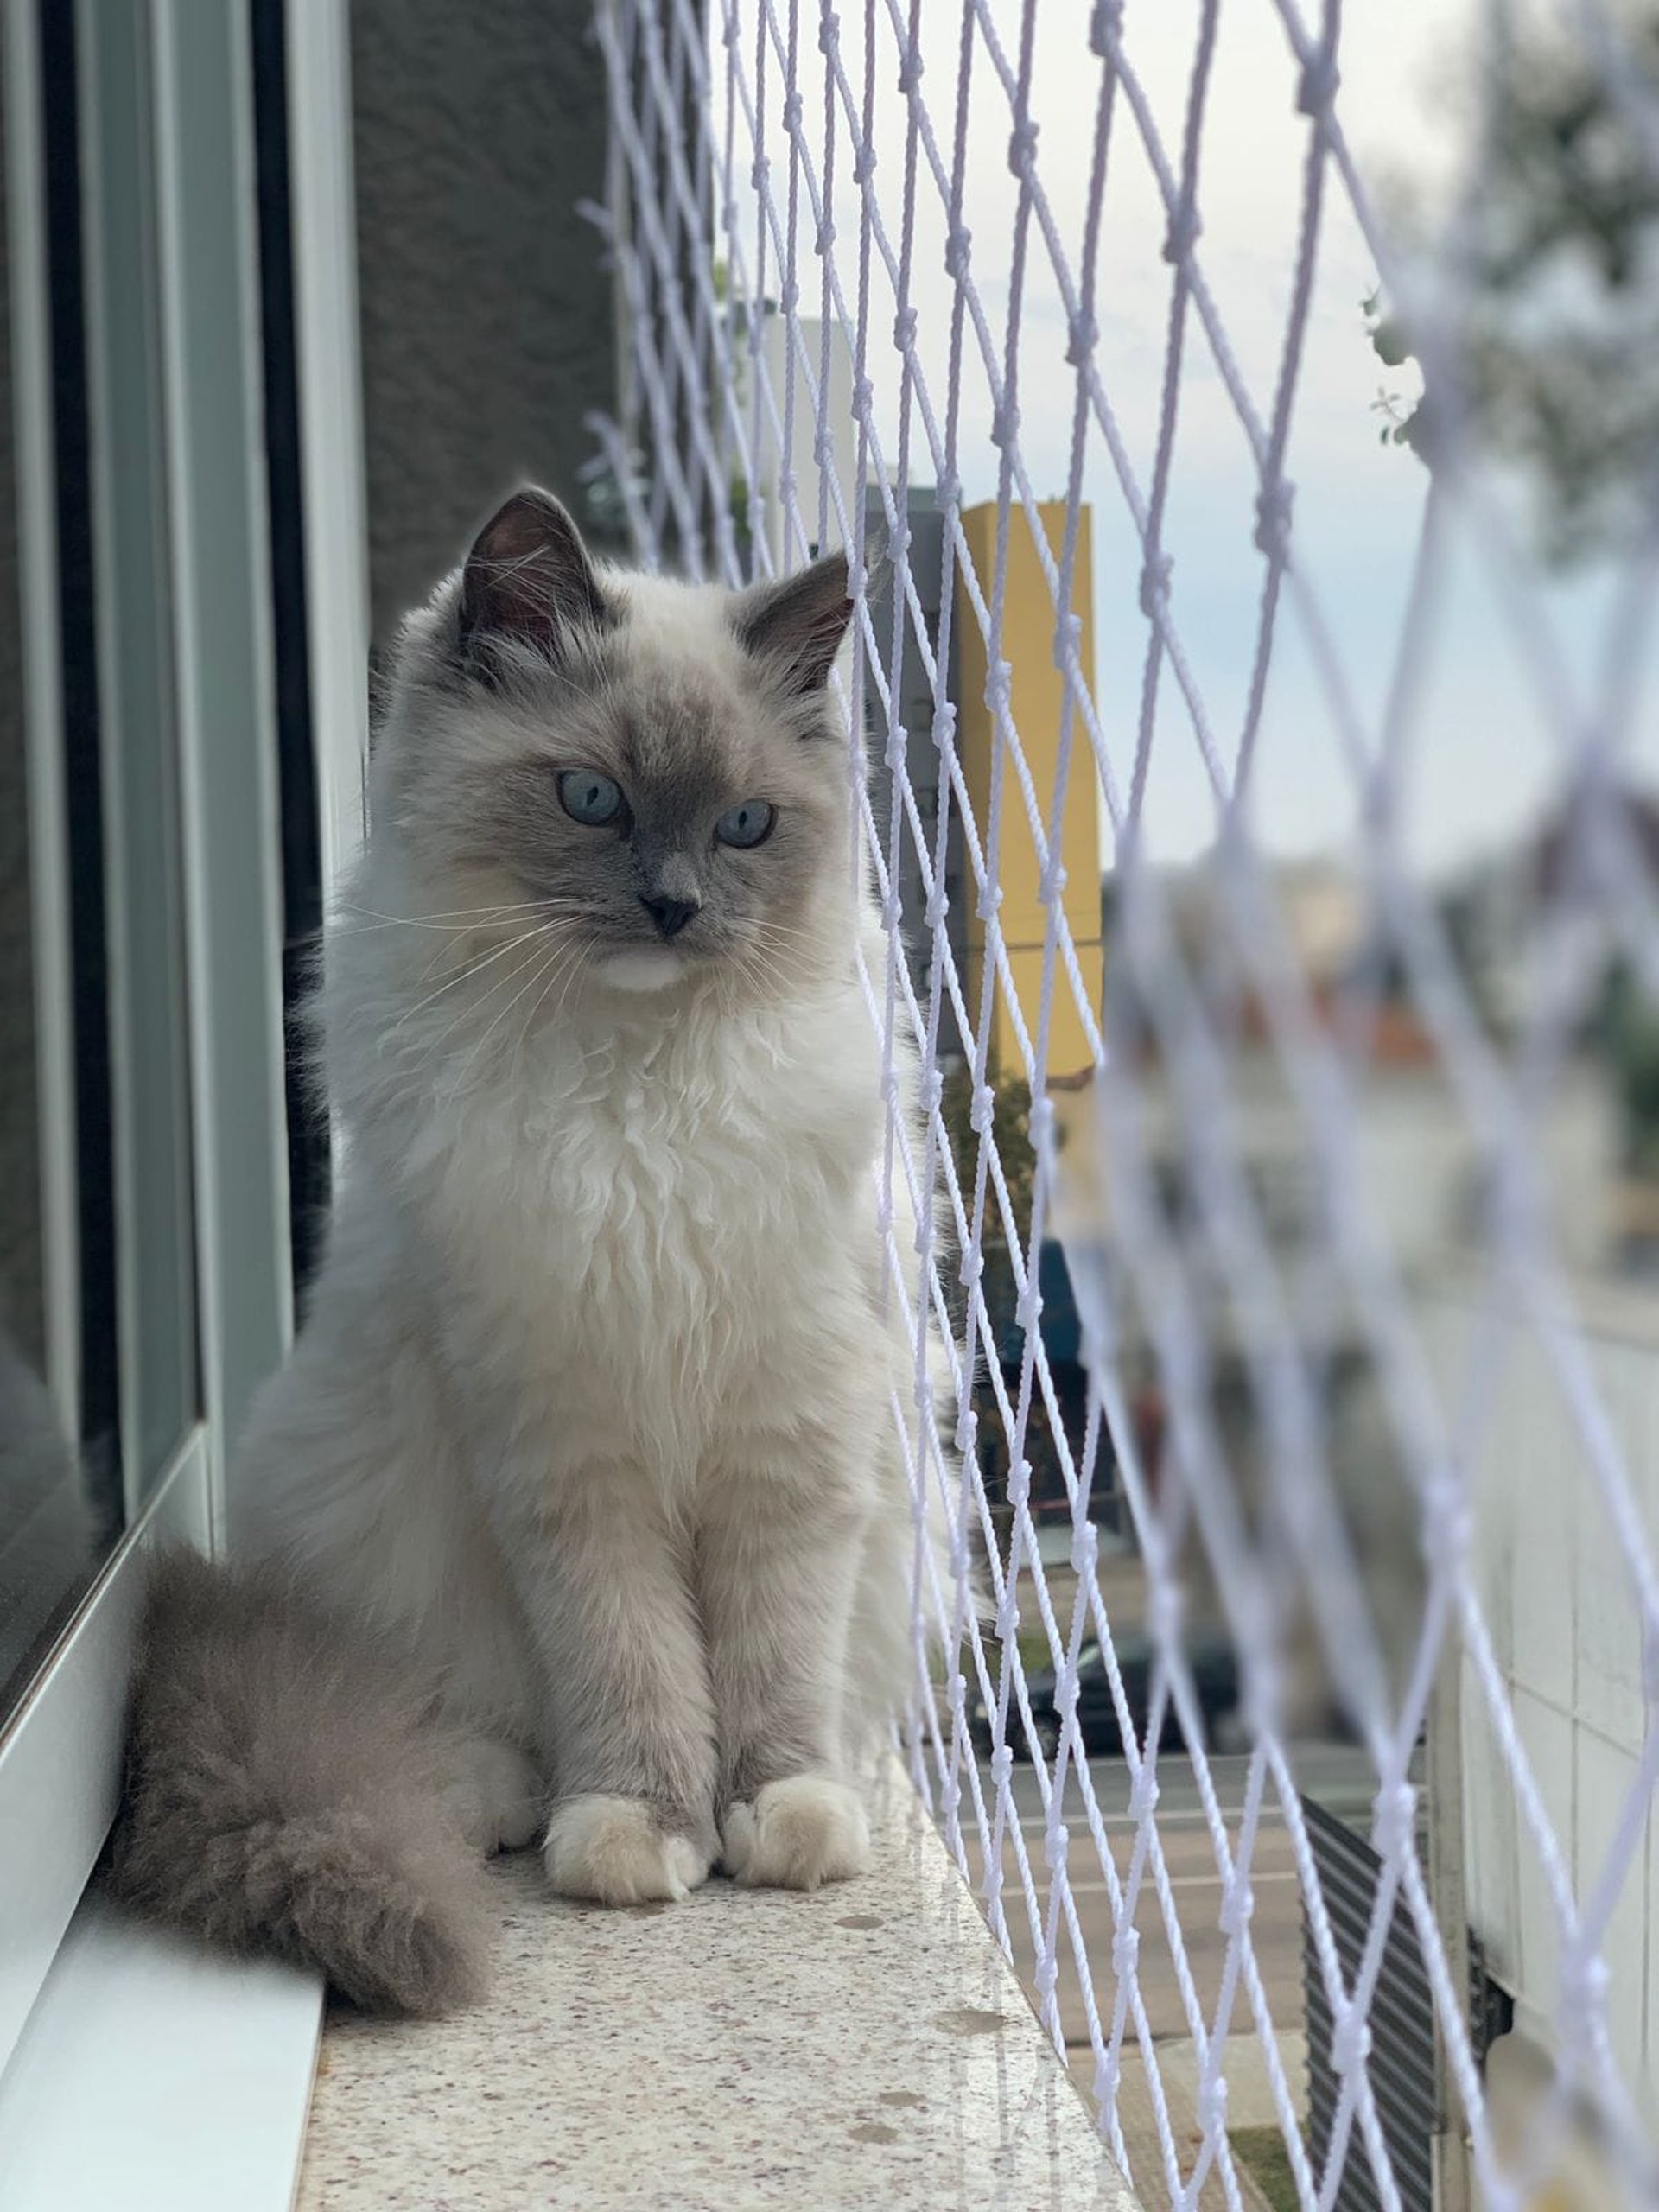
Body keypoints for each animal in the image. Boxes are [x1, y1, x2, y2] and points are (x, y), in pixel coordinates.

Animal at [111, 493, 955, 2017]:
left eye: (746, 827)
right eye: (592, 800)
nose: (674, 908)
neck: (637, 1099)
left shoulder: (789, 1427)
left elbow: (773, 1664)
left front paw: (780, 1819)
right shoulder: (567, 1445)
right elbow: (628, 1663)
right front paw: (644, 1830)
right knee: (453, 1716)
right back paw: (498, 1797)